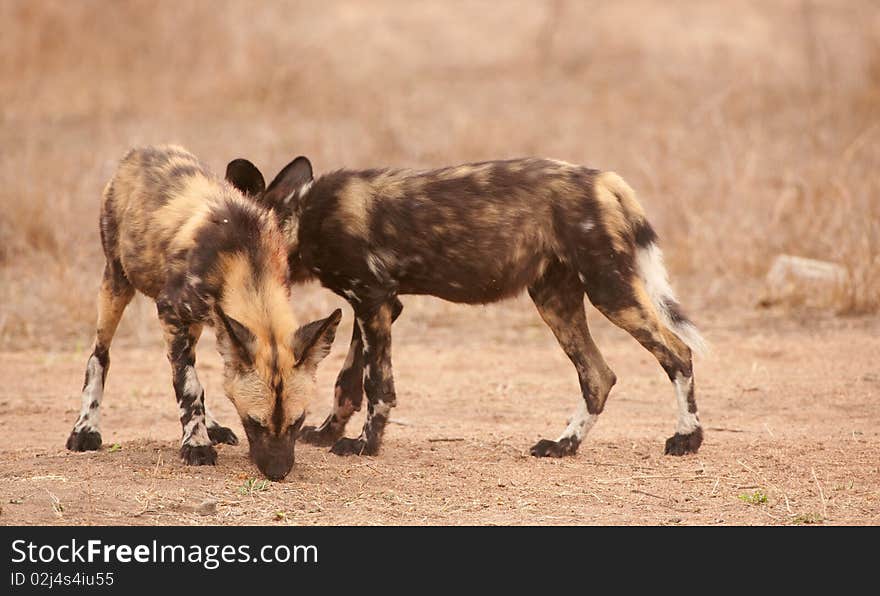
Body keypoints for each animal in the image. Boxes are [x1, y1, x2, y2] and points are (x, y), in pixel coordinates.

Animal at [64, 147, 340, 482]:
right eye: (254, 423)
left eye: (297, 422)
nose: (277, 472)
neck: (246, 260)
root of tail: (141, 152)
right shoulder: (170, 311)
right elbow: (190, 387)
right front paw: (196, 446)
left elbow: (195, 382)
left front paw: (203, 433)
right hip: (117, 285)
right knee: (99, 357)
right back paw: (86, 429)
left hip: (195, 323)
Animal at [227, 156, 708, 458]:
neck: (301, 216)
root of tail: (605, 179)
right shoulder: (377, 305)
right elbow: (348, 382)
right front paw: (328, 433)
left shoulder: (373, 301)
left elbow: (378, 385)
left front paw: (364, 446)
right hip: (555, 300)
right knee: (598, 375)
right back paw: (563, 445)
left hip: (610, 292)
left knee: (676, 352)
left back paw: (686, 438)